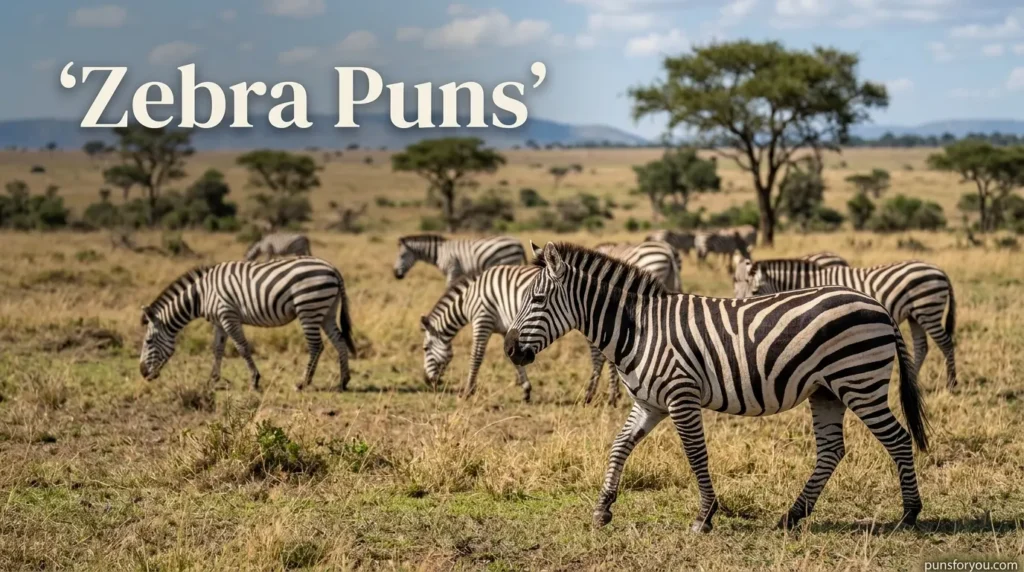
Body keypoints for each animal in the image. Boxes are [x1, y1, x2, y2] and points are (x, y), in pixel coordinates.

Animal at [139, 257, 356, 391]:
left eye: (148, 341)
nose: (142, 373)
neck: (201, 295)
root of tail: (332, 268)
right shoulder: (219, 321)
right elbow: (217, 349)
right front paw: (212, 379)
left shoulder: (228, 315)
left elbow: (242, 347)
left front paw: (254, 380)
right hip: (326, 311)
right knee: (339, 341)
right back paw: (343, 381)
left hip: (308, 307)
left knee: (316, 346)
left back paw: (303, 383)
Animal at [393, 234, 526, 285]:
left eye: (402, 256)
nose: (396, 275)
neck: (440, 252)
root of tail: (519, 244)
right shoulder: (458, 273)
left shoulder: (453, 270)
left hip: (509, 262)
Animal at [504, 242, 928, 532]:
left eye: (536, 299)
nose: (509, 349)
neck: (639, 330)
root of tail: (877, 306)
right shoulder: (649, 402)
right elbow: (619, 446)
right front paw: (603, 508)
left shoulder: (681, 396)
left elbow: (695, 455)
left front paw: (704, 516)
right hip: (827, 390)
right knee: (831, 451)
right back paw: (792, 515)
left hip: (859, 382)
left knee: (897, 439)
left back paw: (909, 513)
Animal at [733, 257, 957, 390]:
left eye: (754, 291)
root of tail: (940, 271)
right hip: (915, 315)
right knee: (922, 347)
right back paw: (913, 381)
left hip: (928, 309)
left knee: (946, 343)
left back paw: (951, 384)